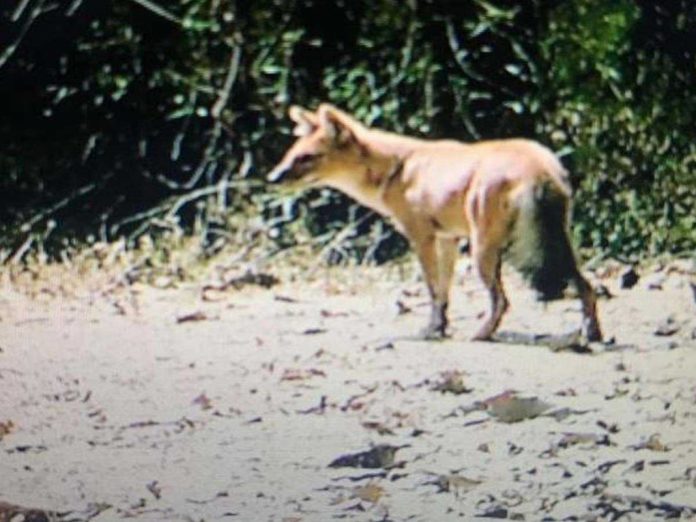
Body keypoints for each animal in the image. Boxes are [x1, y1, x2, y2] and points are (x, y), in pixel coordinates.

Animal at [266, 104, 600, 342]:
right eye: (291, 154)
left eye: (307, 157)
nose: (272, 178)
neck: (396, 169)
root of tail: (540, 168)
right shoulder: (447, 239)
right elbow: (444, 291)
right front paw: (440, 328)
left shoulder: (421, 238)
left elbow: (433, 291)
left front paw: (432, 330)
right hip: (555, 245)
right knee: (587, 286)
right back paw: (592, 334)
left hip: (482, 253)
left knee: (501, 301)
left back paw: (482, 335)